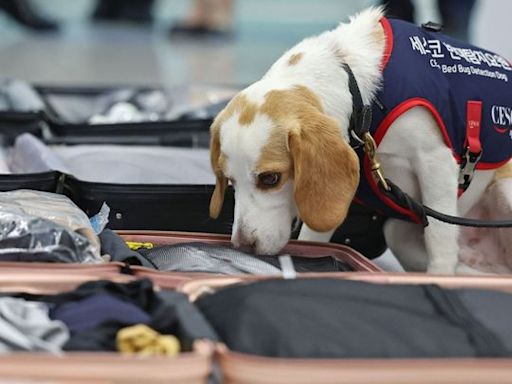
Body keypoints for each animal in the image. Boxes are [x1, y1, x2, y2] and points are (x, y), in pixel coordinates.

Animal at [208, 7, 512, 274]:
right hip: (399, 230)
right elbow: (314, 236)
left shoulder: (435, 162)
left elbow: (440, 240)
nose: (243, 247)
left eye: (270, 179)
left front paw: (440, 277)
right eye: (230, 181)